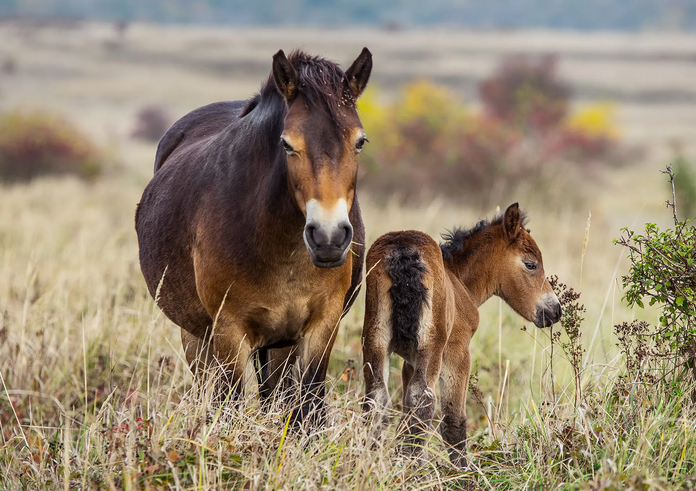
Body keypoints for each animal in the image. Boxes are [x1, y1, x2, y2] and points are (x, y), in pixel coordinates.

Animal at [137, 50, 376, 426]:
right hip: (198, 337)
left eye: (360, 142)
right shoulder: (229, 332)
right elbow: (230, 405)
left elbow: (308, 407)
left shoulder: (321, 326)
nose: (328, 237)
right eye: (287, 144)